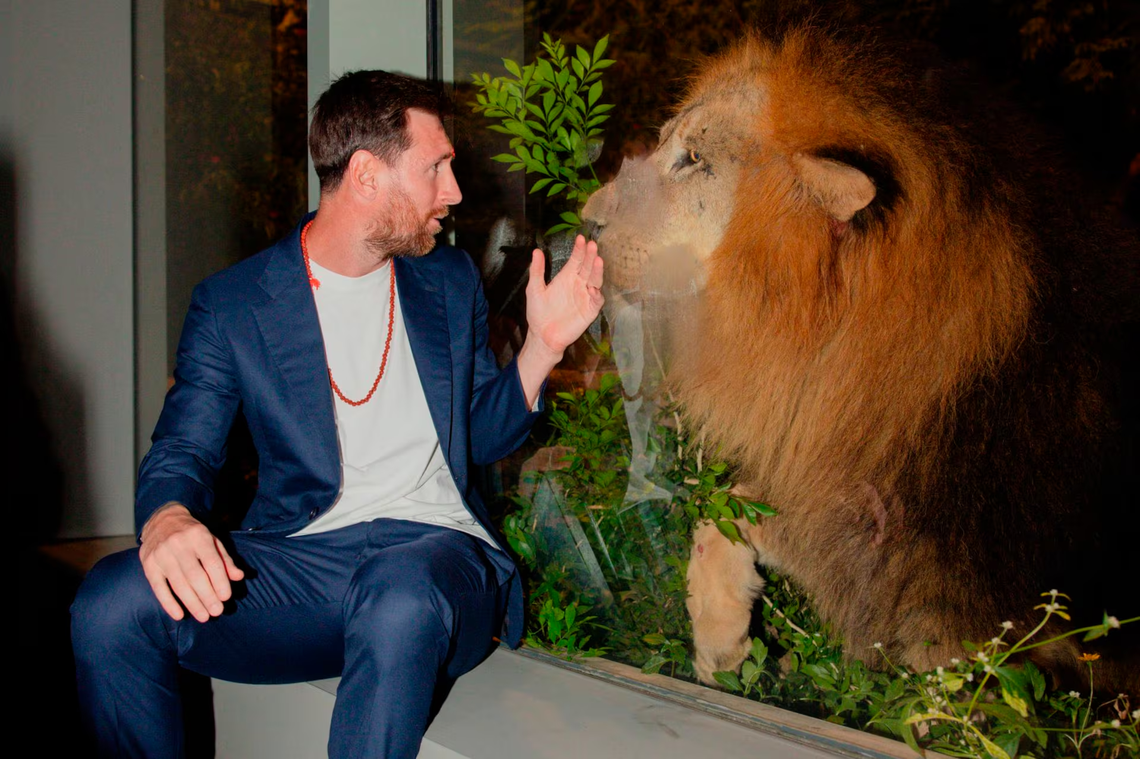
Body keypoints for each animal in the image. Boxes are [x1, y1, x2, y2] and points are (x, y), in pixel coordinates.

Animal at [581, 26, 1139, 693]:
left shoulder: (950, 602)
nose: (585, 223)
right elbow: (723, 516)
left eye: (693, 159)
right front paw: (722, 649)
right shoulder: (841, 499)